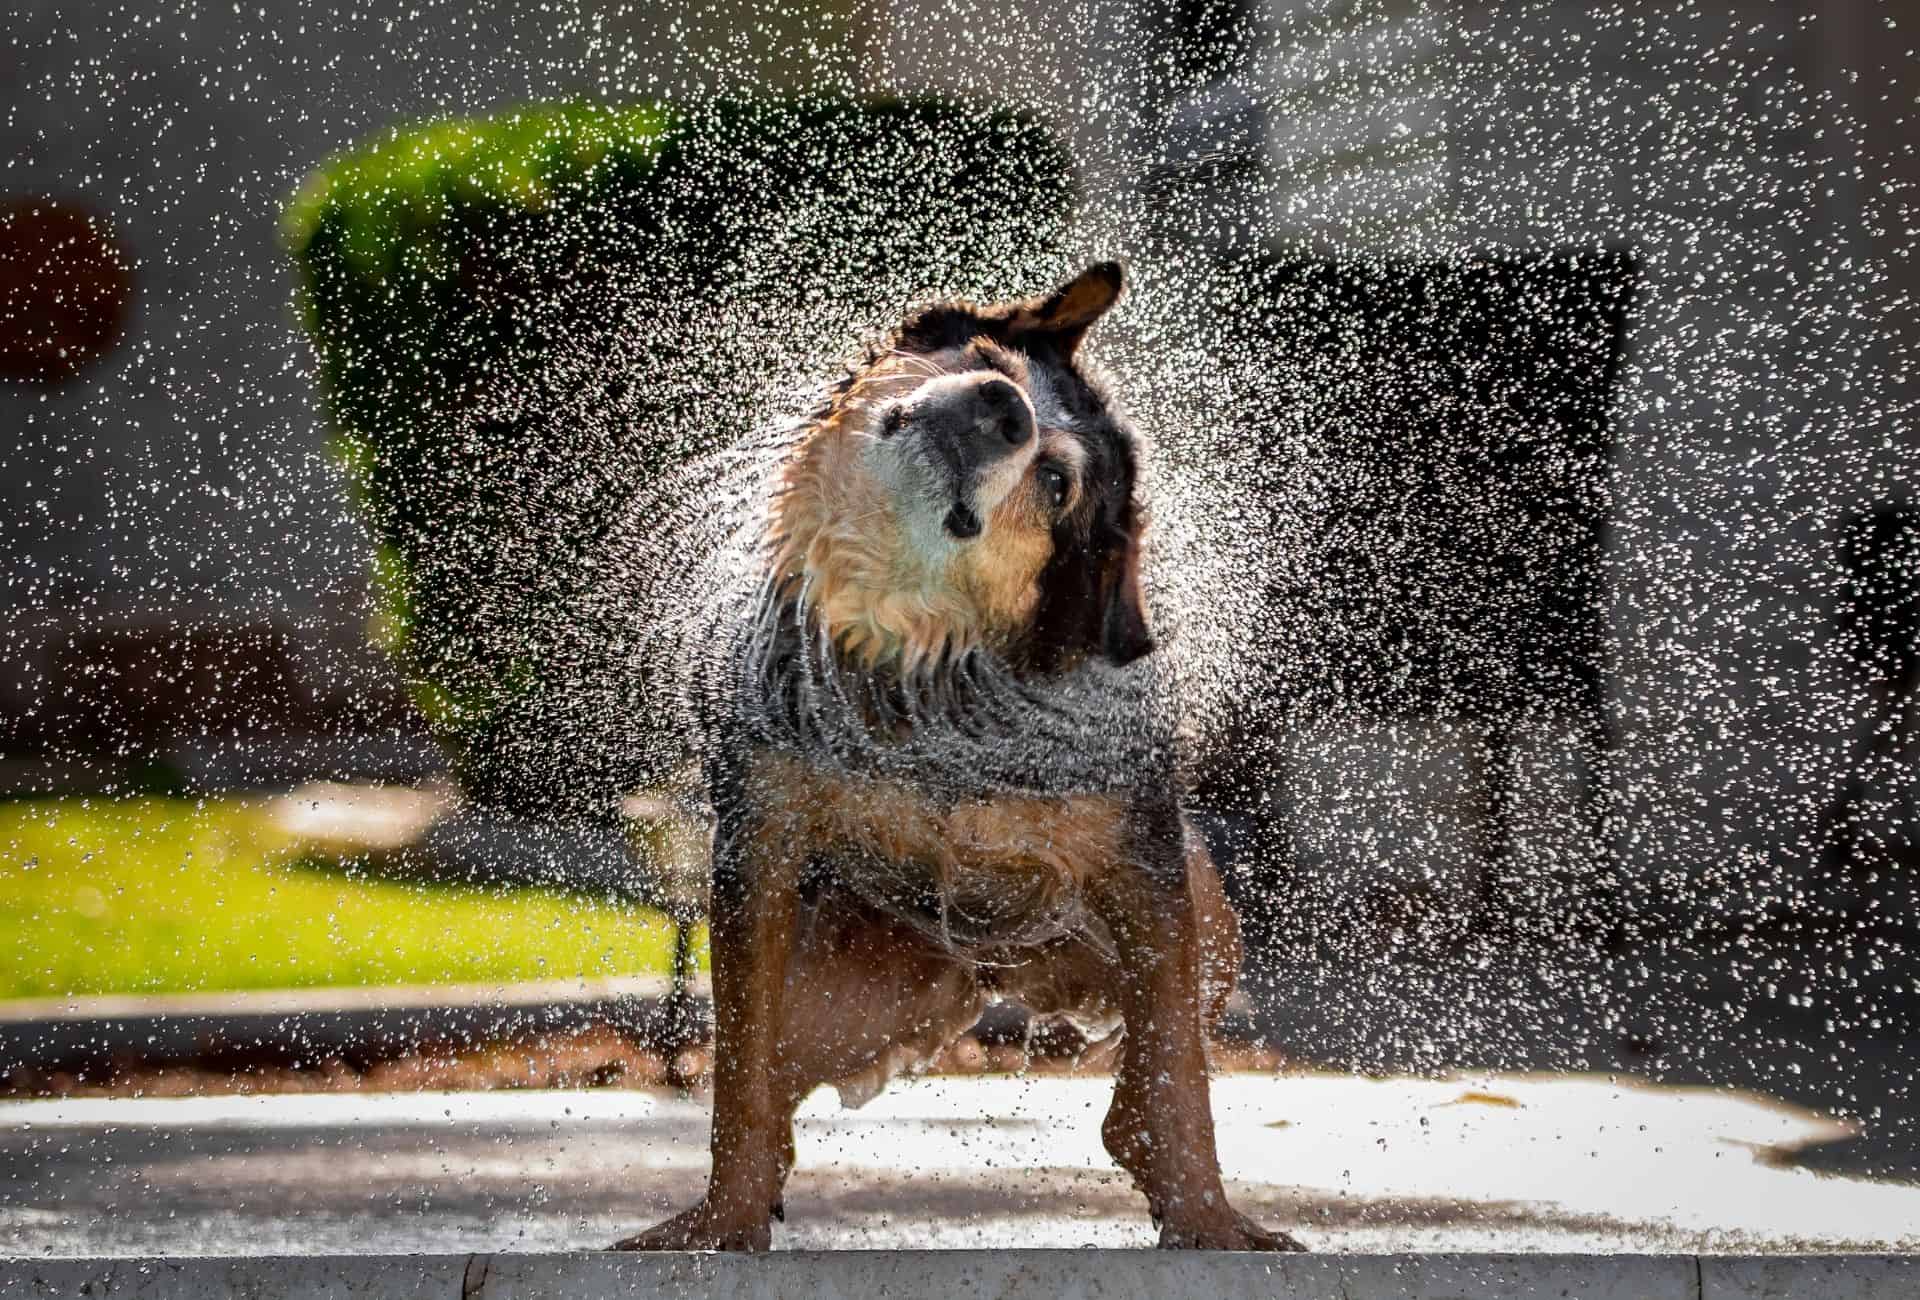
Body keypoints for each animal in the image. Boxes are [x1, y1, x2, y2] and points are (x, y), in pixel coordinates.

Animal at [614, 261, 1305, 1244]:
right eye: (989, 361)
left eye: (1054, 482)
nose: (1002, 406)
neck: (918, 667)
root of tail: (986, 972)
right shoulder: (758, 846)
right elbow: (739, 1077)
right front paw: (724, 1221)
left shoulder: (1147, 866)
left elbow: (1179, 1075)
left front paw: (1207, 1220)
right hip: (845, 999)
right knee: (775, 1078)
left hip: (1206, 928)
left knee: (1152, 1066)